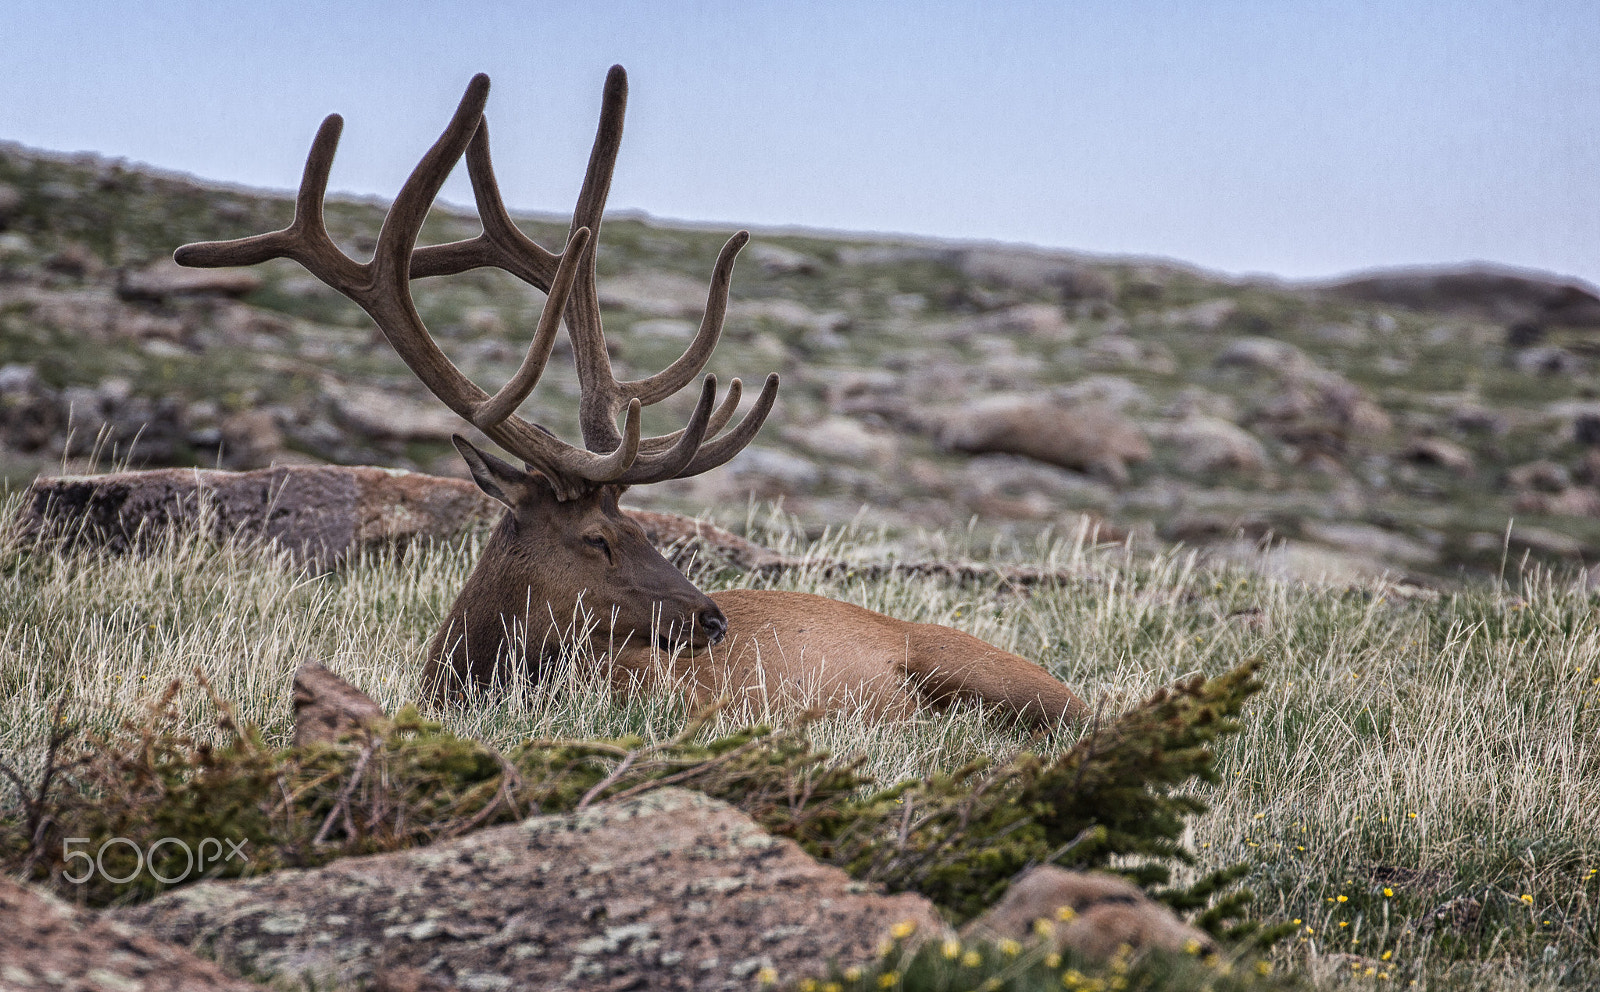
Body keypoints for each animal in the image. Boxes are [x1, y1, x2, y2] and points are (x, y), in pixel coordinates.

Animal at [175, 67, 1090, 727]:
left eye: (646, 527)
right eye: (598, 538)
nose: (713, 620)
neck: (463, 677)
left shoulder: (670, 697)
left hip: (995, 676)